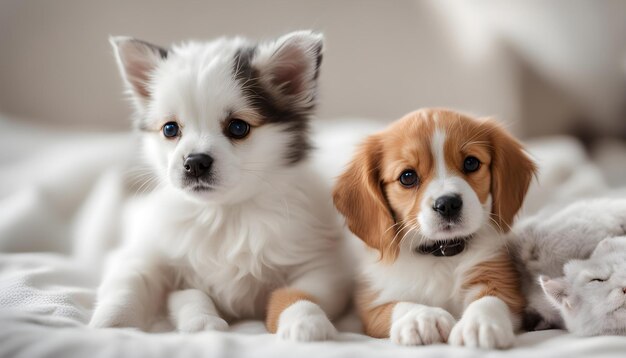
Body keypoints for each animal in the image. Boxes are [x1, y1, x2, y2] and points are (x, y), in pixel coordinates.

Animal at [89, 31, 352, 342]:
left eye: (238, 127)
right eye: (170, 129)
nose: (195, 163)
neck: (223, 213)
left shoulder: (321, 265)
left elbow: (299, 292)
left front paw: (306, 322)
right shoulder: (141, 252)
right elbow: (134, 284)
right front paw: (113, 325)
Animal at [334, 109, 532, 350]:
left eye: (471, 163)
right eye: (407, 176)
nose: (448, 204)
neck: (440, 254)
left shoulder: (501, 279)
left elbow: (490, 299)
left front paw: (480, 323)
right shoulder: (372, 303)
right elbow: (397, 305)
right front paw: (421, 318)